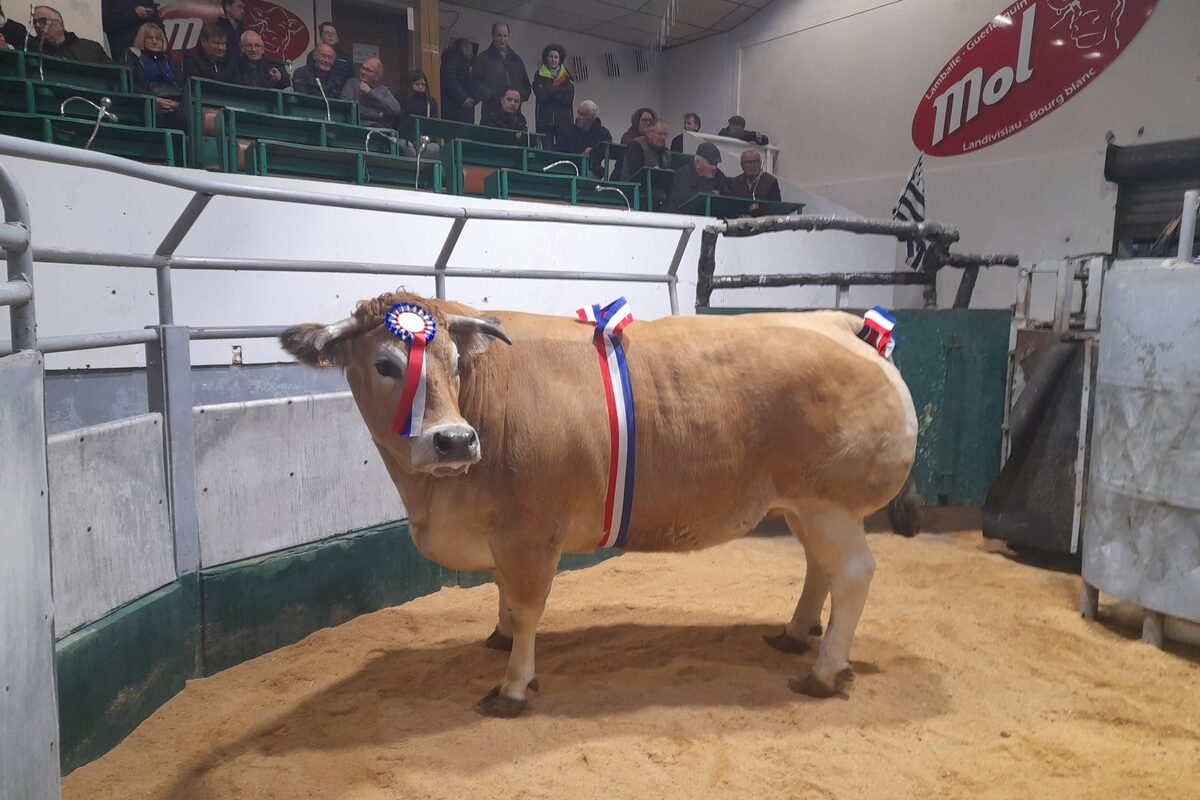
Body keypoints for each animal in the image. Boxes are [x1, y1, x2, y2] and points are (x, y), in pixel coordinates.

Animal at [281, 292, 919, 717]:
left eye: (457, 364)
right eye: (385, 364)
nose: (454, 440)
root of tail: (835, 321)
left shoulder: (531, 530)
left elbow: (527, 607)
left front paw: (513, 686)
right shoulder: (503, 532)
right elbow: (503, 594)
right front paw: (497, 638)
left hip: (829, 504)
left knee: (854, 574)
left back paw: (823, 671)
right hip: (802, 505)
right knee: (820, 569)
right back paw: (794, 633)